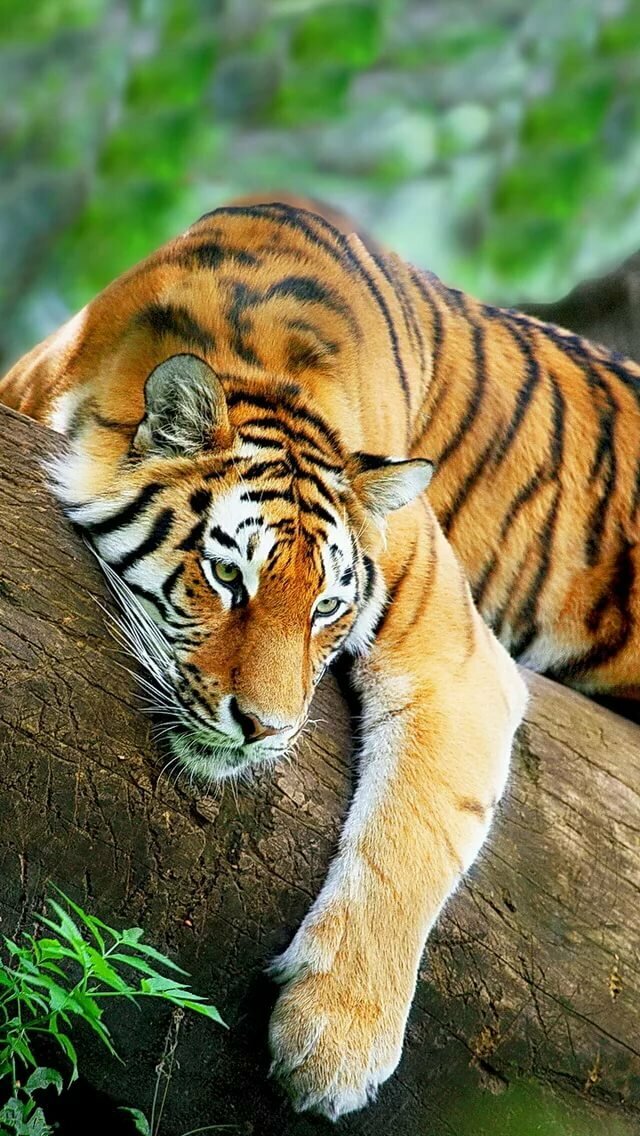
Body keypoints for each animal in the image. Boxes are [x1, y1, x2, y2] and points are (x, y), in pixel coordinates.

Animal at [1, 194, 639, 1120]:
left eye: (327, 608)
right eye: (227, 576)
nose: (263, 729)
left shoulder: (457, 657)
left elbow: (415, 833)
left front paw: (335, 1042)